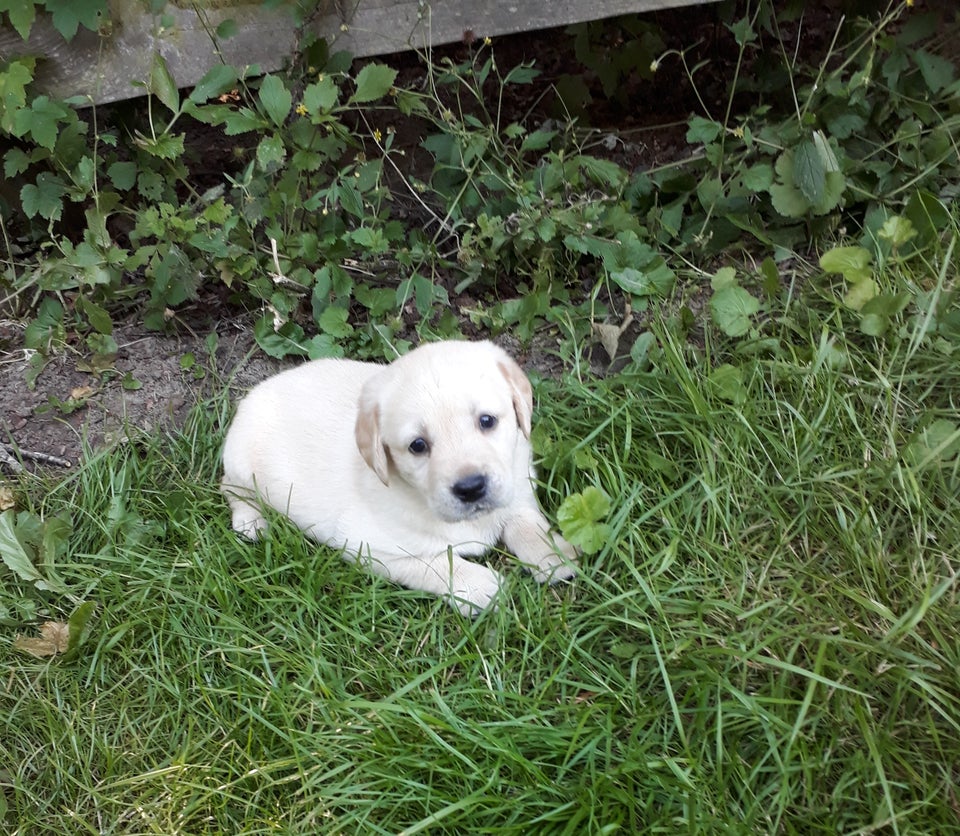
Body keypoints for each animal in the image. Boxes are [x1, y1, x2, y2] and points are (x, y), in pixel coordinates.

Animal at [223, 340, 576, 612]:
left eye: (487, 421)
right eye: (418, 445)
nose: (471, 488)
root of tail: (258, 388)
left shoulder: (518, 486)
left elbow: (528, 523)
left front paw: (554, 555)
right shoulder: (367, 546)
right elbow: (433, 562)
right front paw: (479, 586)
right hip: (239, 462)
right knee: (232, 491)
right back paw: (252, 522)